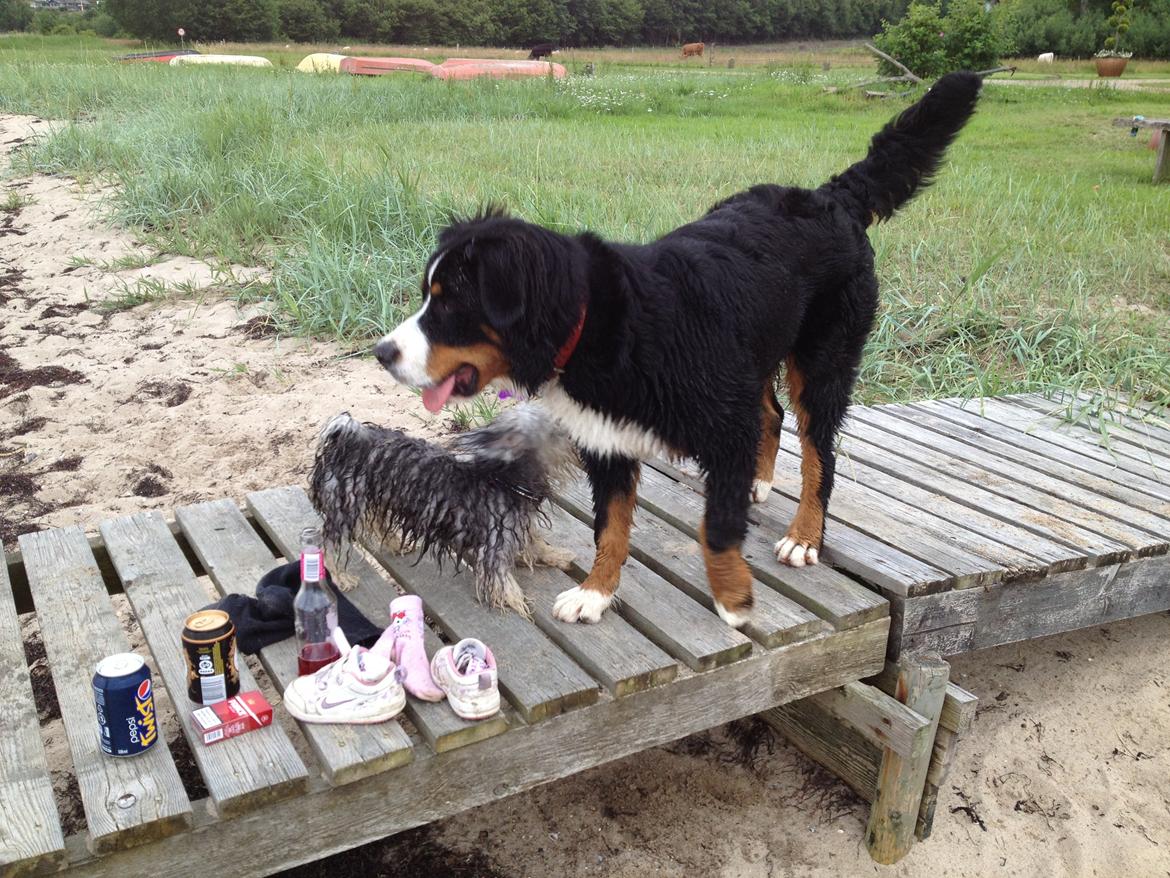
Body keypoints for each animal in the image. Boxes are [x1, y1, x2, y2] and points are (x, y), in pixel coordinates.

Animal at [304, 405, 573, 613]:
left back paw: (394, 543)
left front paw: (556, 555)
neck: (503, 476)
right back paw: (342, 577)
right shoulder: (495, 539)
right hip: (345, 506)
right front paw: (518, 600)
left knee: (377, 522)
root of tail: (343, 441)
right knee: (329, 544)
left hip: (377, 496)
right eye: (555, 428)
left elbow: (535, 542)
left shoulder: (517, 524)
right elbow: (501, 578)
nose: (574, 434)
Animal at [369, 72, 982, 627]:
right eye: (428, 295)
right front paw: (596, 593)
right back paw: (758, 482)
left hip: (821, 365)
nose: (382, 353)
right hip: (759, 353)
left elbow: (716, 529)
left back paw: (804, 536)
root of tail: (830, 197)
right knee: (772, 414)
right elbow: (611, 529)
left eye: (449, 303)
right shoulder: (610, 444)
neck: (605, 328)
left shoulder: (723, 424)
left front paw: (734, 599)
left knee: (819, 455)